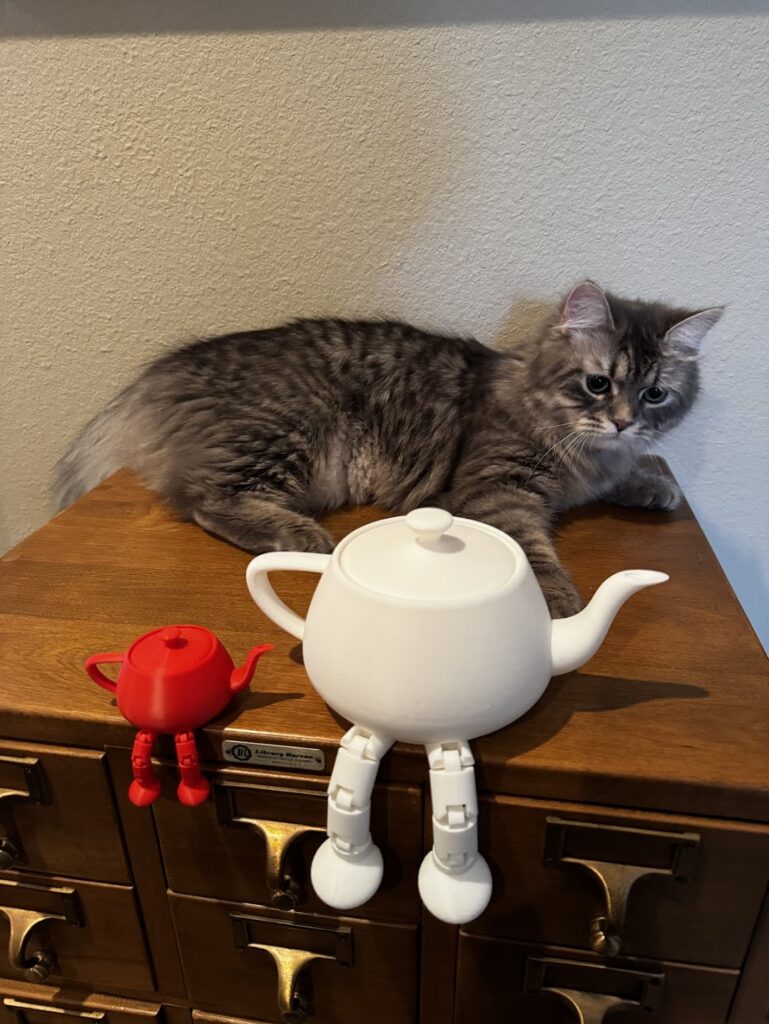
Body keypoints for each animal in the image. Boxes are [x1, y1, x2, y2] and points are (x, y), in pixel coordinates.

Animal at [55, 281, 723, 617]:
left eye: (655, 394)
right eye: (598, 383)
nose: (623, 422)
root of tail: (168, 369)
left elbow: (633, 475)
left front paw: (654, 482)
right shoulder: (496, 488)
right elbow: (533, 549)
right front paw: (557, 600)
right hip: (287, 431)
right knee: (203, 499)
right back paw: (300, 535)